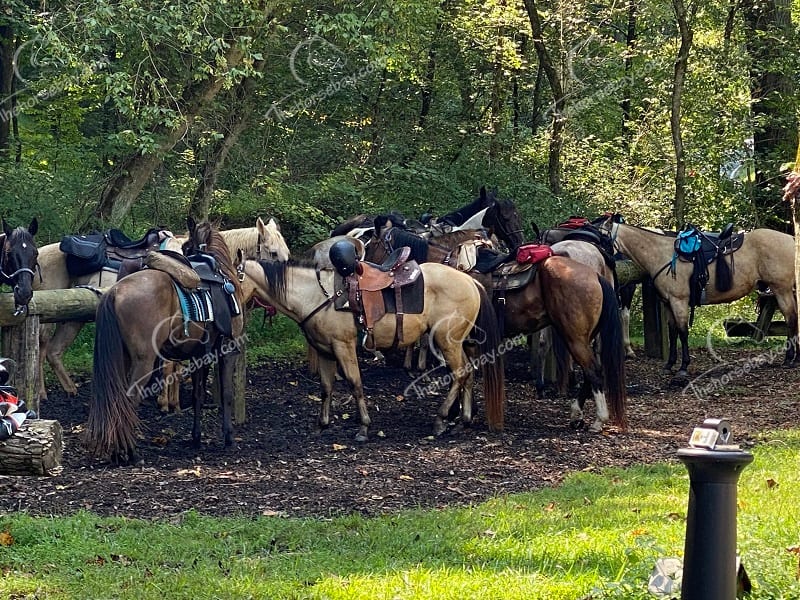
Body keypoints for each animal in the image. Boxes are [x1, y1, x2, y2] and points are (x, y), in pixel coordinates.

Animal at [34, 216, 288, 403]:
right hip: (49, 314)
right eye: (273, 253)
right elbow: (171, 363)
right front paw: (167, 401)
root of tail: (39, 253)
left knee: (54, 351)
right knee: (42, 347)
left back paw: (70, 390)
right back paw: (41, 392)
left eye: (286, 253)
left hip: (73, 317)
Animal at [85, 219, 246, 465]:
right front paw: (229, 438)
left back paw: (118, 451)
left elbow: (197, 396)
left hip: (122, 358)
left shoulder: (200, 356)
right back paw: (130, 452)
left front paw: (196, 438)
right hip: (144, 361)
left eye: (186, 247)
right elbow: (227, 395)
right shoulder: (228, 351)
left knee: (117, 400)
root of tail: (114, 292)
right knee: (130, 398)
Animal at [235, 257, 506, 441]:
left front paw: (363, 427)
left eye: (233, 278)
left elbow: (355, 383)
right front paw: (322, 425)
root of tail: (470, 280)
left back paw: (440, 420)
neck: (317, 296)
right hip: (459, 342)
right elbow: (326, 387)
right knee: (468, 373)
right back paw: (463, 420)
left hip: (446, 341)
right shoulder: (324, 351)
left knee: (460, 374)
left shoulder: (343, 346)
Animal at [599, 217, 798, 379]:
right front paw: (669, 365)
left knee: (791, 319)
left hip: (782, 290)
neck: (661, 253)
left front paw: (683, 367)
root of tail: (791, 240)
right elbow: (673, 333)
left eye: (600, 236)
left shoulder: (679, 301)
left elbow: (683, 332)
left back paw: (790, 359)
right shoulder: (668, 303)